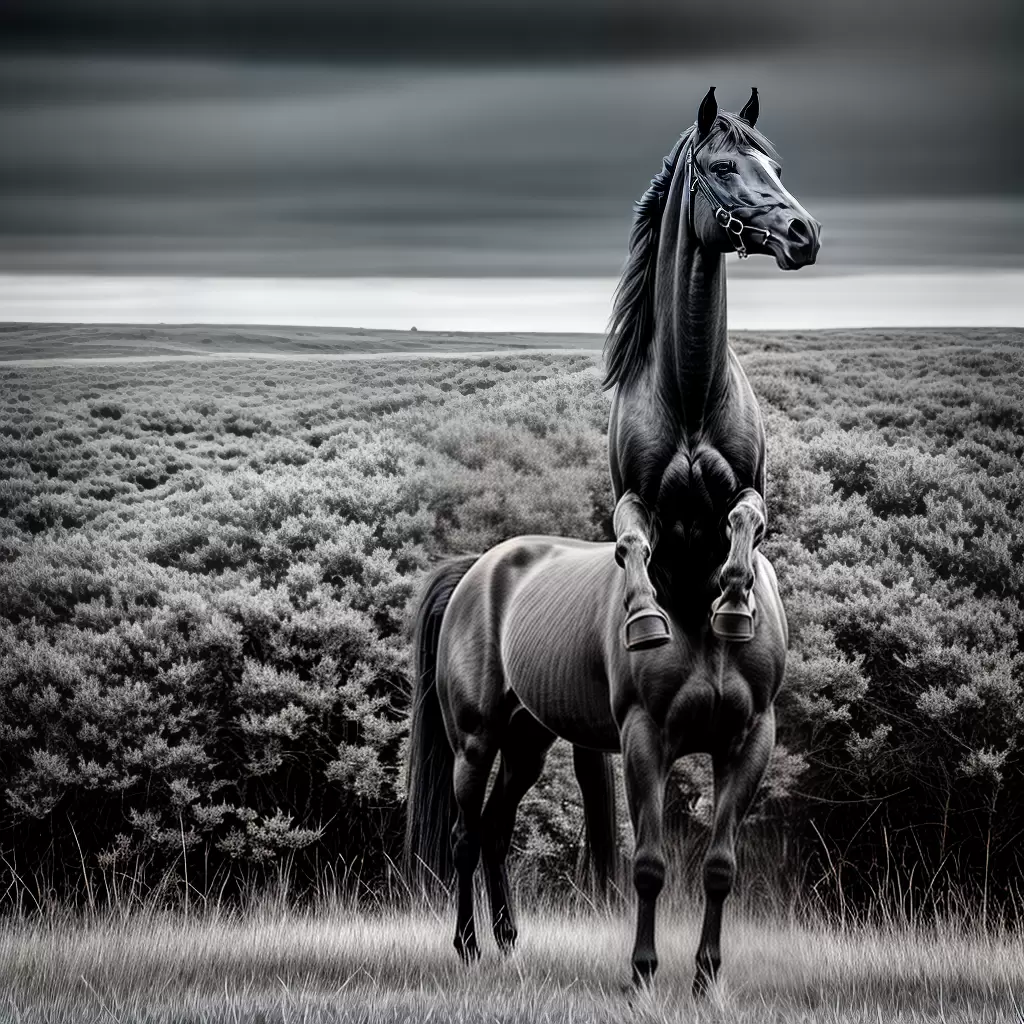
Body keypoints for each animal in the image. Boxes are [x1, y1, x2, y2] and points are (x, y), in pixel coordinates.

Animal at [405, 87, 821, 995]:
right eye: (724, 167)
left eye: (778, 163)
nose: (804, 233)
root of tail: (480, 570)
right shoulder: (644, 739)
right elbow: (651, 865)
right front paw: (640, 972)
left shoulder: (749, 740)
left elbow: (720, 867)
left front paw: (705, 978)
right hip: (477, 739)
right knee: (465, 835)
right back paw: (468, 948)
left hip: (530, 739)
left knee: (497, 830)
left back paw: (511, 943)